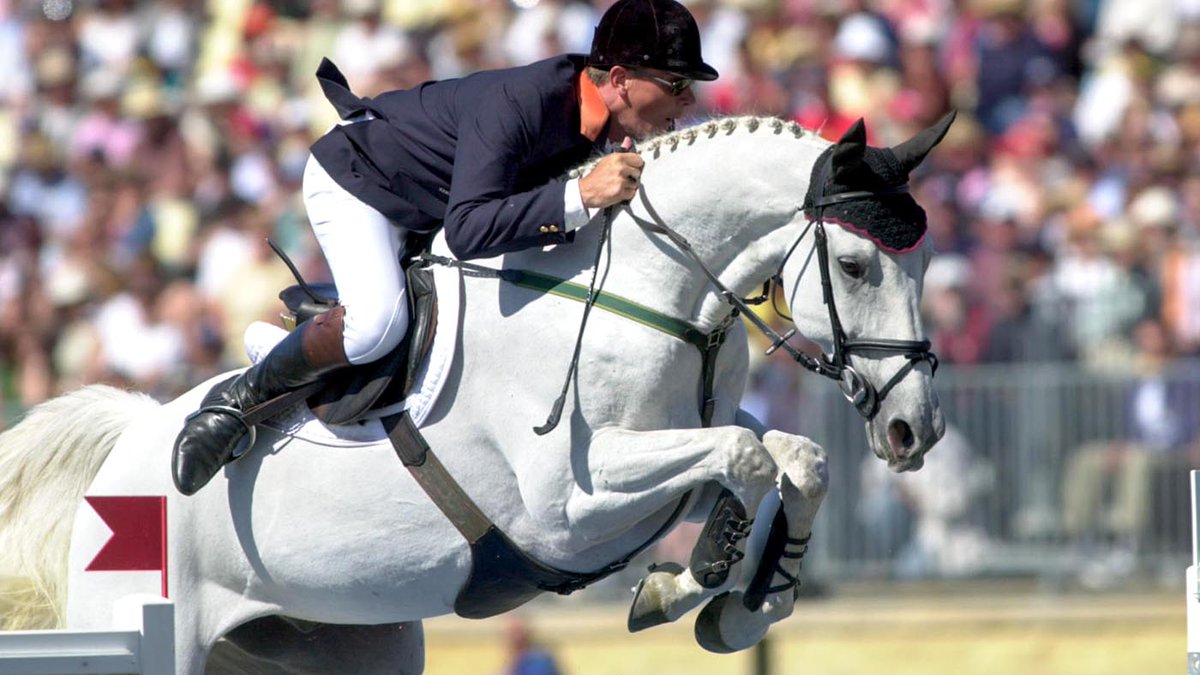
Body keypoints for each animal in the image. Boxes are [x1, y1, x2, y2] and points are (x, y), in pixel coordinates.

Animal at [0, 113, 950, 673]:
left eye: (928, 262)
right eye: (855, 264)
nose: (916, 429)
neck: (645, 288)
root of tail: (124, 443)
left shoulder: (677, 441)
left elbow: (795, 456)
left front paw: (744, 606)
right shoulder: (568, 504)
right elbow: (747, 454)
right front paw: (696, 580)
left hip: (338, 640)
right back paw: (206, 434)